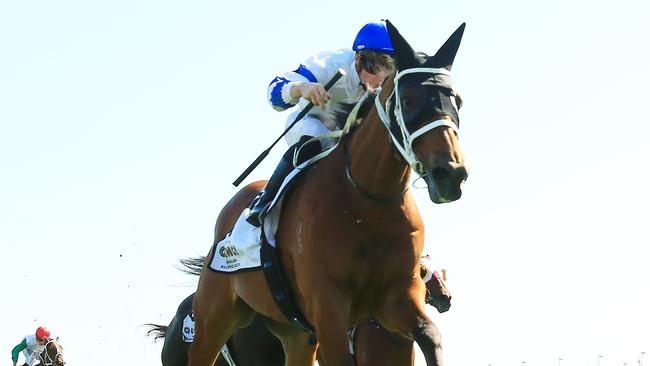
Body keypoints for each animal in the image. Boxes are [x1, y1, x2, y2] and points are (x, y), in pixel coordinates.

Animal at [187, 20, 466, 366]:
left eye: (458, 100)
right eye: (409, 98)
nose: (450, 173)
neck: (367, 203)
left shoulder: (397, 298)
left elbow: (431, 336)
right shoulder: (327, 307)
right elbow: (285, 82)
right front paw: (308, 90)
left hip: (294, 334)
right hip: (214, 317)